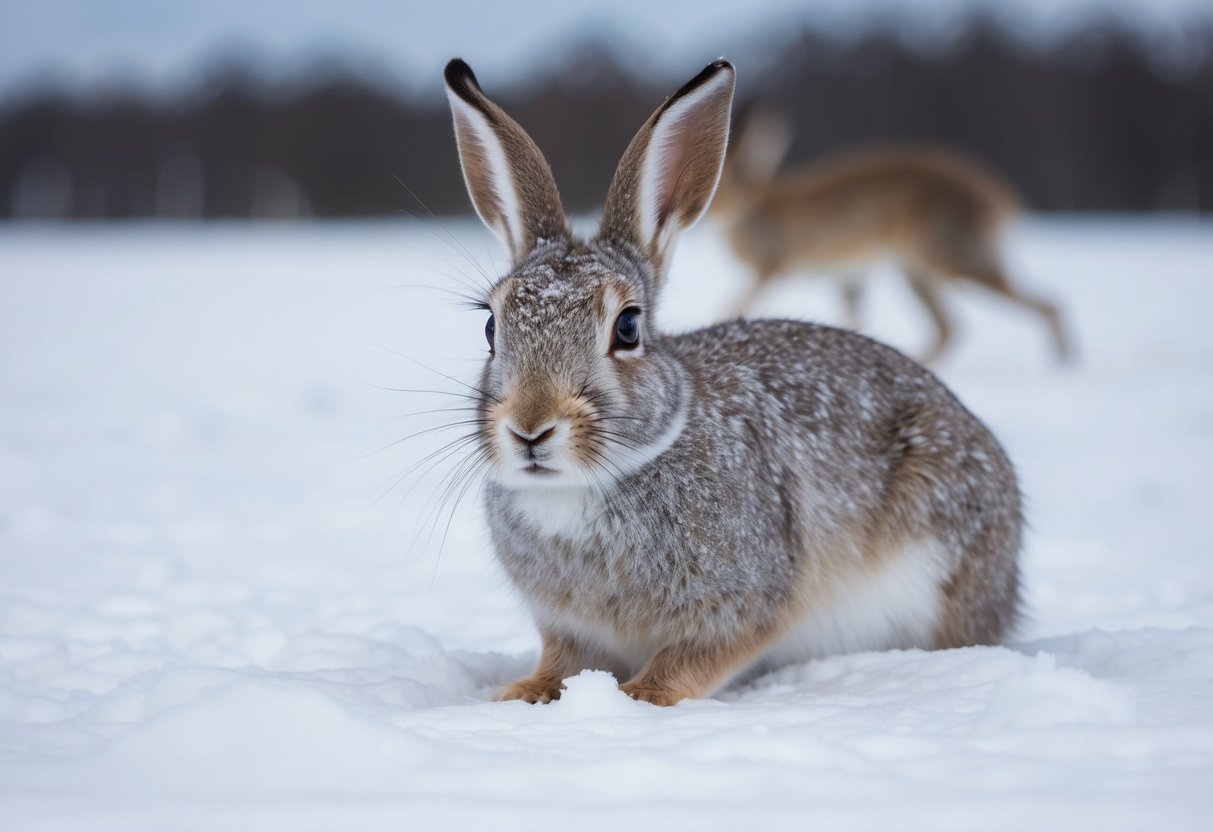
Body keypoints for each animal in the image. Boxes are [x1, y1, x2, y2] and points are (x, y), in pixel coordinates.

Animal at [442, 57, 1022, 706]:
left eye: (627, 327)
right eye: (491, 326)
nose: (530, 428)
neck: (580, 487)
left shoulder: (746, 598)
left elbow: (691, 660)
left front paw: (639, 698)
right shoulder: (568, 628)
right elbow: (561, 661)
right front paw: (523, 693)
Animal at [712, 103, 1072, 365]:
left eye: (721, 182)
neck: (750, 206)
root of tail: (995, 200)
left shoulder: (774, 265)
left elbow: (736, 299)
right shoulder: (847, 279)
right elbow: (852, 317)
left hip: (949, 260)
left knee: (1046, 304)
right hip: (916, 274)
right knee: (950, 328)